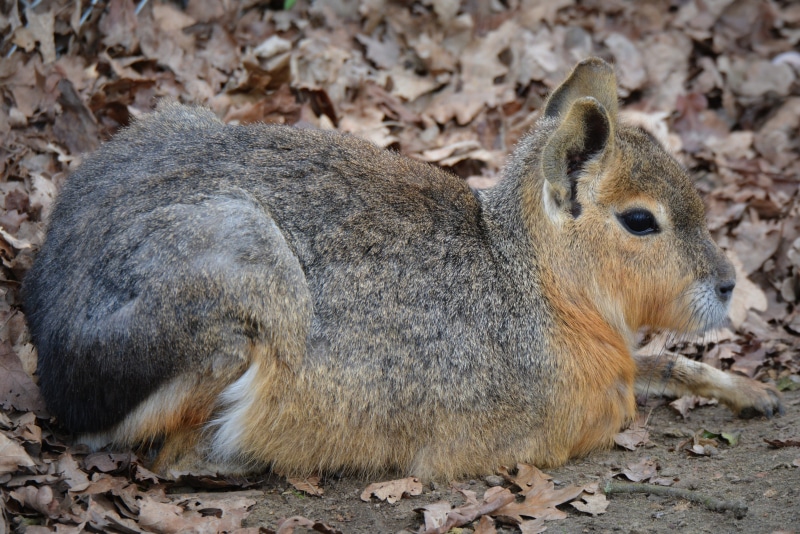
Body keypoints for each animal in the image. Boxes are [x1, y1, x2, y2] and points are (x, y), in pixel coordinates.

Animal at [23, 58, 783, 479]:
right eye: (640, 221)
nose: (727, 284)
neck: (532, 280)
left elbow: (662, 362)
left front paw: (752, 392)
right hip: (249, 269)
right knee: (163, 455)